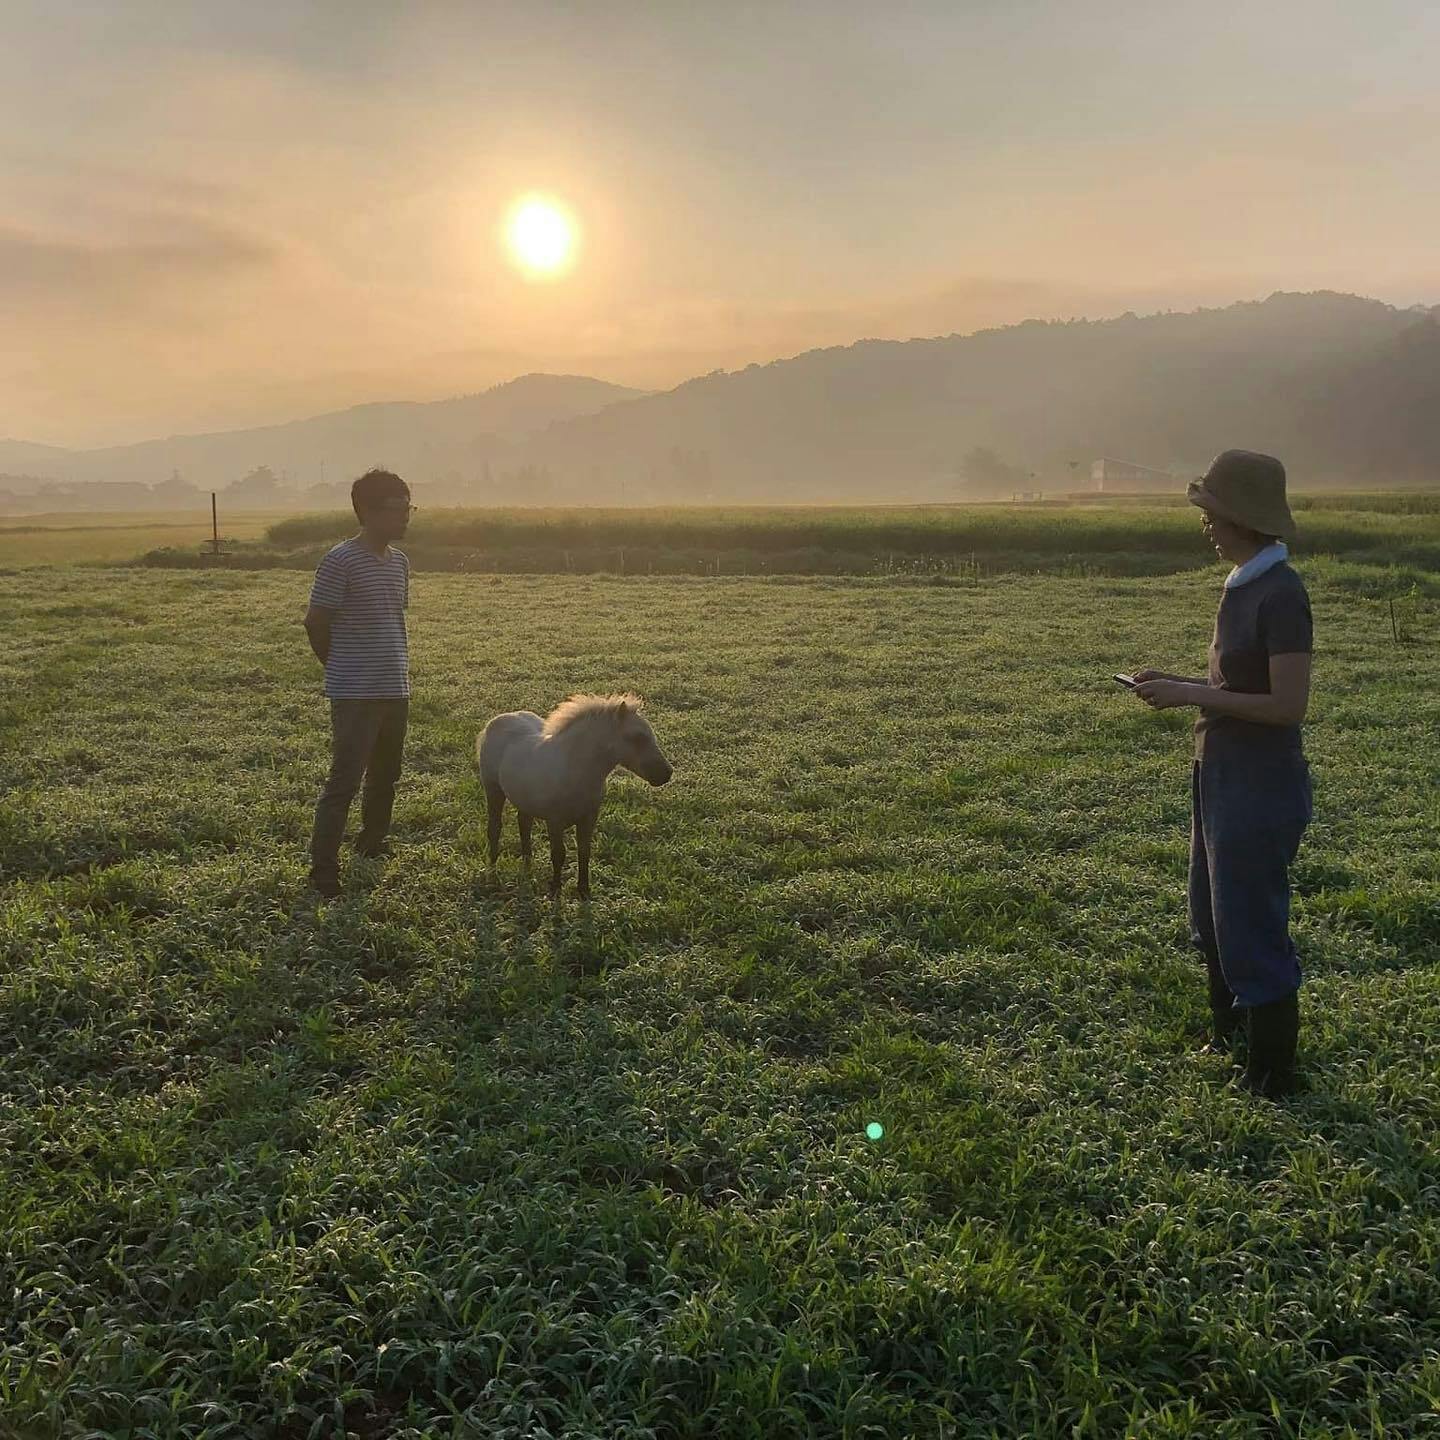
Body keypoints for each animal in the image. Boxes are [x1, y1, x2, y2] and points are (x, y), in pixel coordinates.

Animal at [475, 688, 671, 898]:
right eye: (636, 737)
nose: (666, 774)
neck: (574, 769)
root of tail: (496, 721)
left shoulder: (588, 818)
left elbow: (584, 852)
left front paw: (584, 891)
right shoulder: (555, 820)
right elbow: (558, 854)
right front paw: (555, 891)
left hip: (524, 798)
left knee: (524, 825)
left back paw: (528, 869)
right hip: (493, 789)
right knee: (494, 828)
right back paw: (492, 874)